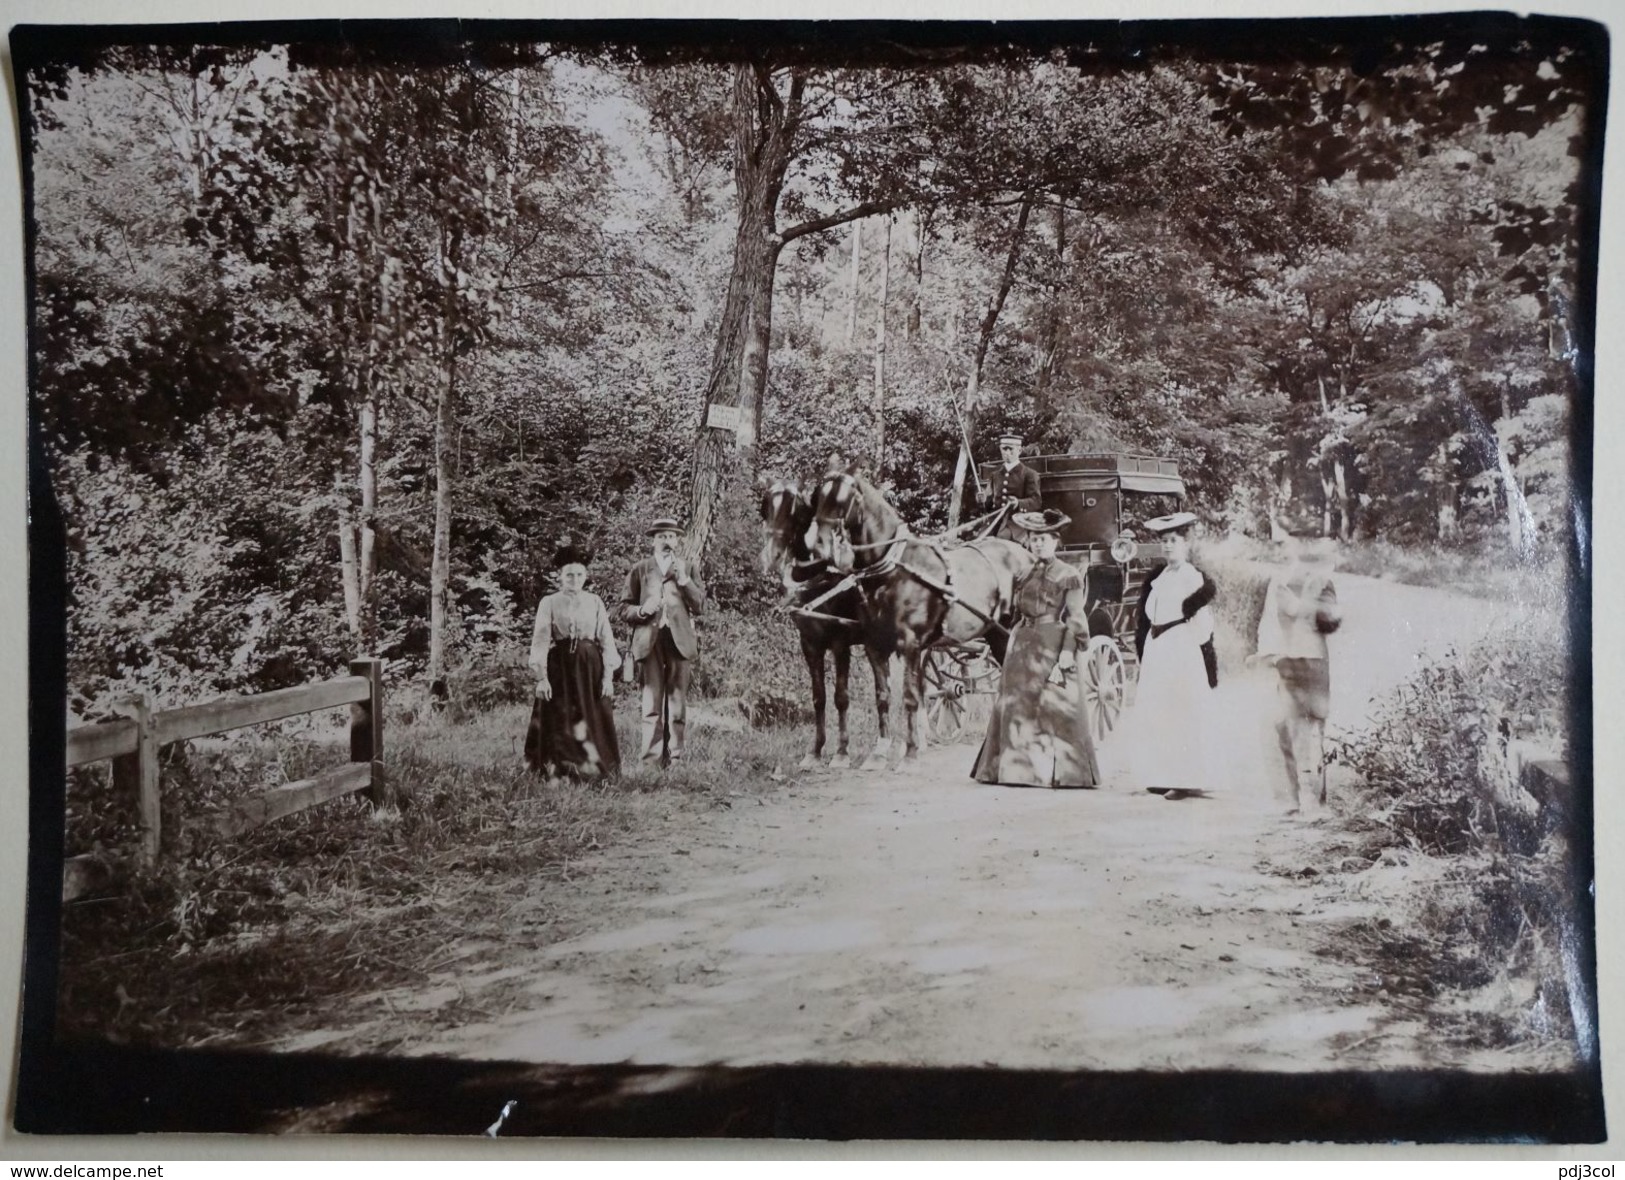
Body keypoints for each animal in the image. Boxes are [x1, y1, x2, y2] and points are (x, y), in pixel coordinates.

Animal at [763, 474, 903, 770]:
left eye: (794, 507)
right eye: (767, 504)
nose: (774, 554)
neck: (818, 581)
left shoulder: (840, 644)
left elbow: (841, 697)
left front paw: (841, 753)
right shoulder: (809, 644)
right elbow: (819, 697)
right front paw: (815, 752)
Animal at [806, 468, 1033, 763]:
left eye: (842, 499)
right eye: (818, 497)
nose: (819, 545)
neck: (892, 569)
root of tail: (1027, 555)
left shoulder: (911, 643)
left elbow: (910, 696)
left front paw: (911, 753)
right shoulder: (874, 644)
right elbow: (883, 696)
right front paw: (879, 753)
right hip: (995, 634)